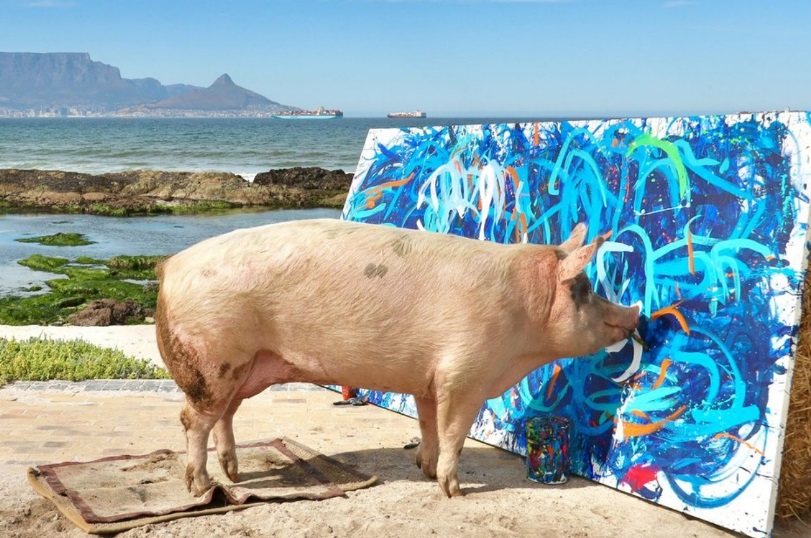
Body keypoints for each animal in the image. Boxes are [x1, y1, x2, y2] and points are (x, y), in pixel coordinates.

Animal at [155, 218, 639, 498]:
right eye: (584, 290)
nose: (635, 313)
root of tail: (170, 267)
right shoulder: (464, 374)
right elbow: (454, 432)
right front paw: (452, 490)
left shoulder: (429, 377)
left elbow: (427, 425)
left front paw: (422, 469)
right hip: (214, 358)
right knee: (192, 419)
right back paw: (202, 487)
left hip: (245, 366)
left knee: (225, 415)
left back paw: (234, 476)